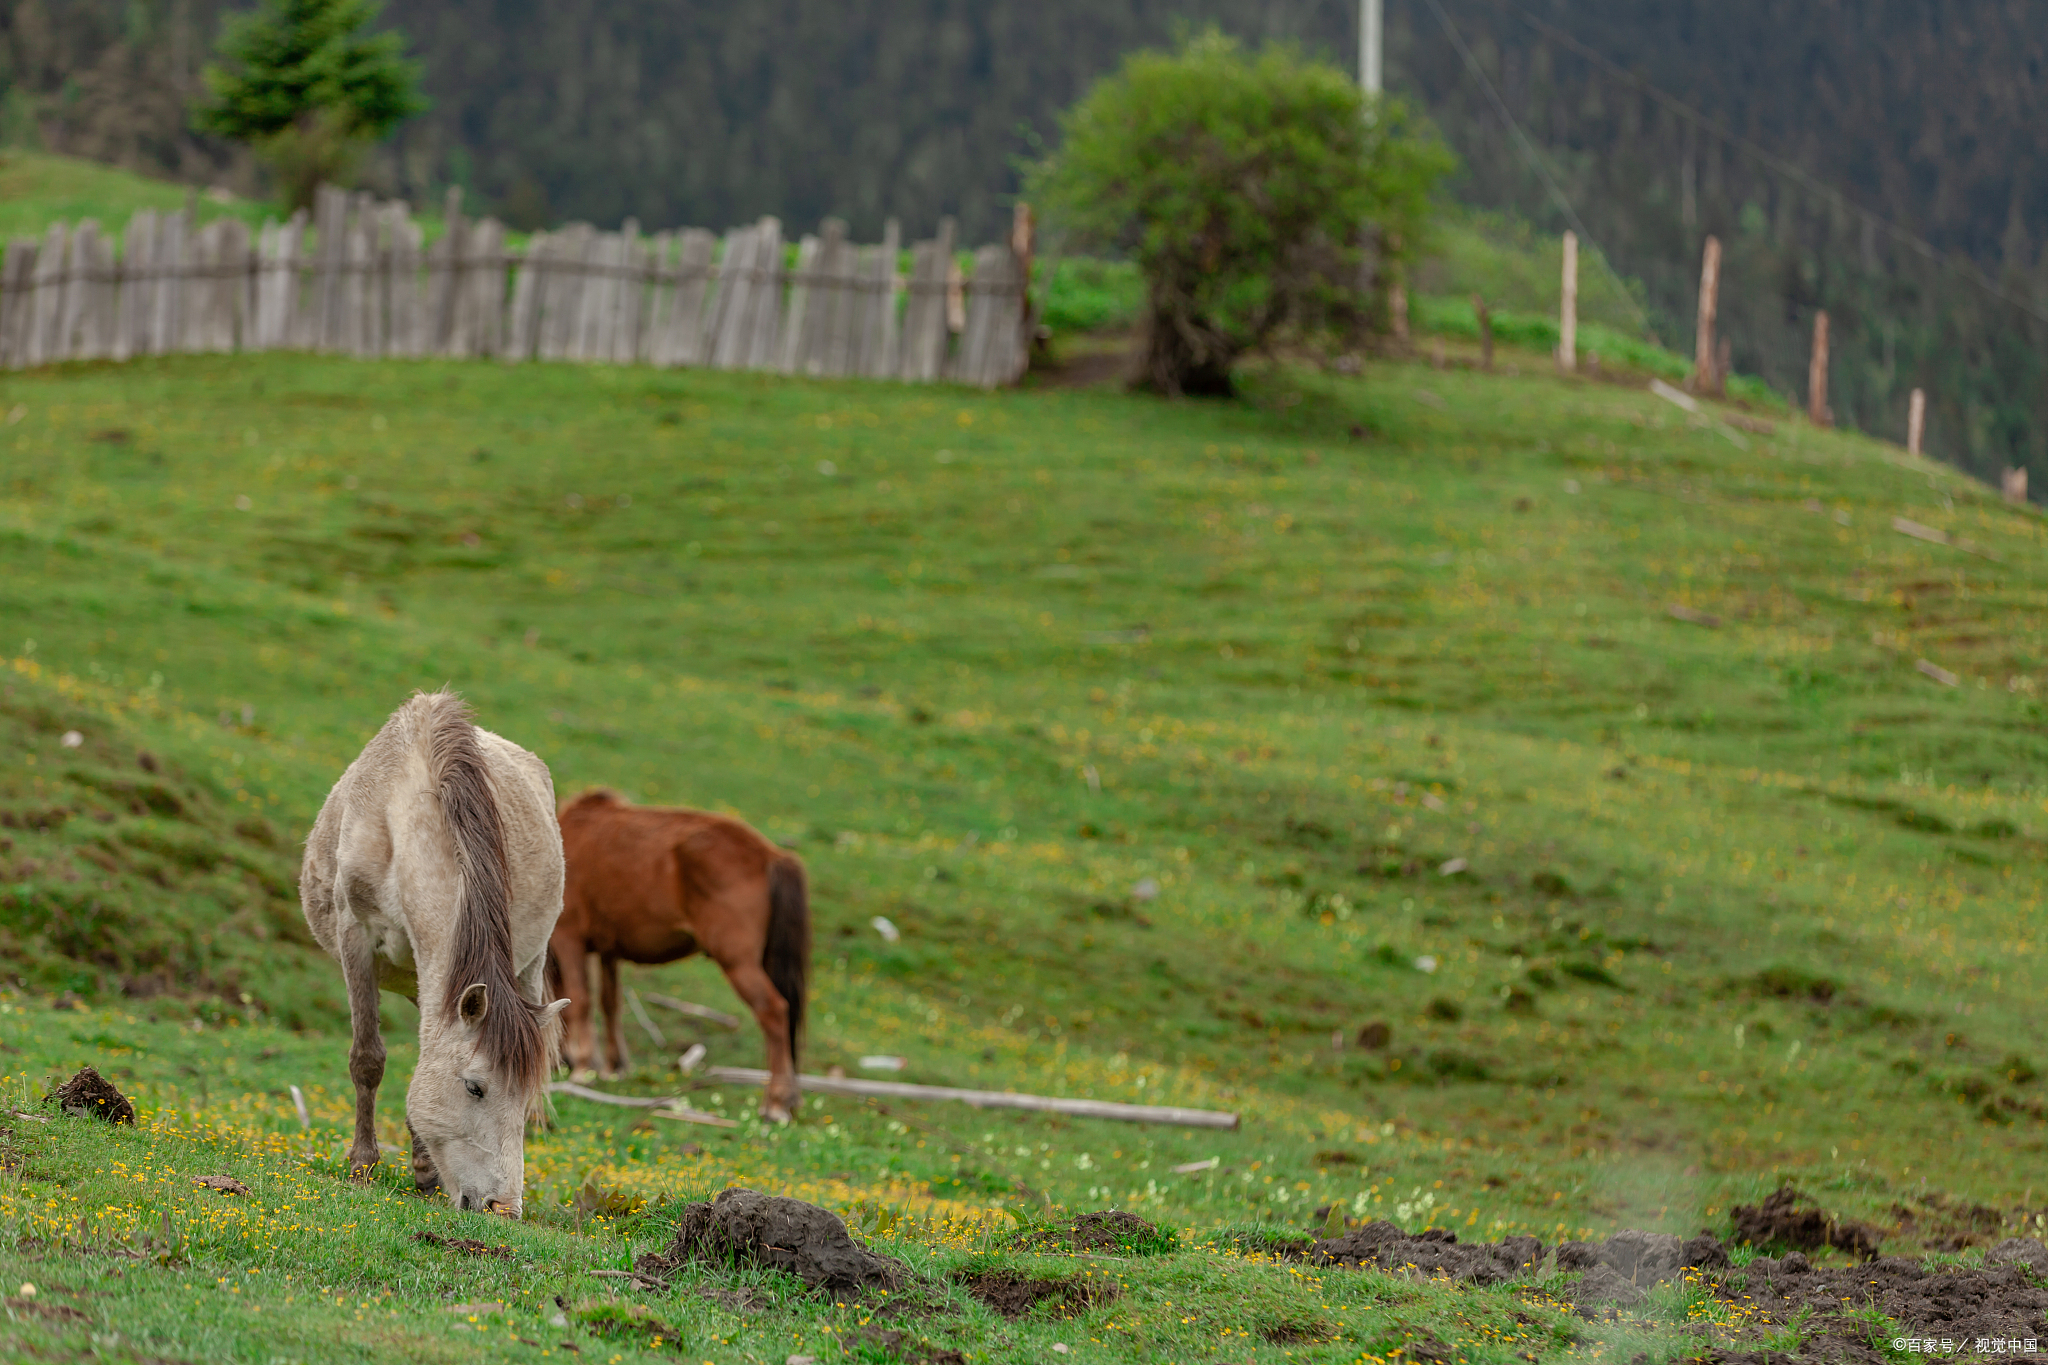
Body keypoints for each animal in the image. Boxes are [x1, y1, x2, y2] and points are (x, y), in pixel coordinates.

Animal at [299, 695, 569, 1219]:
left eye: (525, 1096)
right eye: (474, 1087)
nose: (503, 1210)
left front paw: (423, 1172)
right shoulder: (354, 937)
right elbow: (368, 1059)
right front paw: (362, 1164)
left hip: (526, 969)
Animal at [552, 789, 806, 1121]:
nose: (563, 1062)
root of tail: (770, 855)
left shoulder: (569, 938)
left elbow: (580, 1000)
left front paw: (584, 1068)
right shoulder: (609, 950)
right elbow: (610, 1003)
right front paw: (613, 1066)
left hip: (738, 964)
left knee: (774, 1012)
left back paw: (775, 1103)